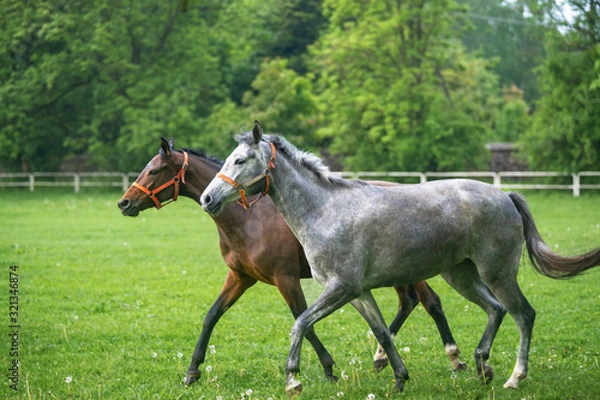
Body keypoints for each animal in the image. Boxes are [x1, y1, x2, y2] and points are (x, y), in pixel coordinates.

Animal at [116, 138, 464, 384]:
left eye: (154, 170)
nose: (124, 203)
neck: (249, 220)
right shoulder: (240, 277)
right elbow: (211, 316)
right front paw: (192, 371)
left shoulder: (286, 279)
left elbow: (302, 320)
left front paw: (327, 369)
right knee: (408, 302)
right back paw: (381, 357)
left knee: (431, 302)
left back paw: (454, 358)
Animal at [202, 120, 600, 396]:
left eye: (240, 160)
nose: (207, 198)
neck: (325, 212)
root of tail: (506, 196)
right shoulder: (358, 293)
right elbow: (382, 331)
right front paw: (398, 379)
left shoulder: (340, 289)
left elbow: (300, 323)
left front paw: (293, 381)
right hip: (462, 275)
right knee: (496, 310)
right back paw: (481, 366)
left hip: (497, 273)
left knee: (523, 314)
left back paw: (514, 378)